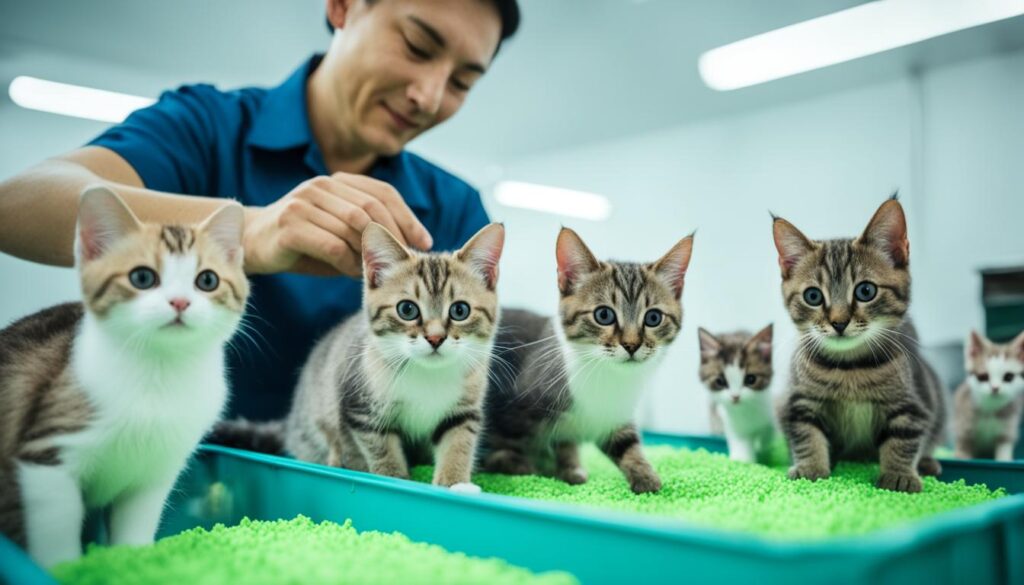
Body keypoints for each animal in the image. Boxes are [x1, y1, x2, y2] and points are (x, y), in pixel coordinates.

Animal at [0, 186, 247, 569]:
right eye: (142, 278)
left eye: (207, 280)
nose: (180, 302)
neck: (160, 371)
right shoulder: (48, 457)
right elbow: (56, 532)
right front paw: (70, 571)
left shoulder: (155, 472)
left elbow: (135, 525)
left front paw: (135, 562)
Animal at [481, 228, 692, 493]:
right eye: (604, 315)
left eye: (653, 318)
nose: (631, 345)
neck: (605, 375)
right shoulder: (515, 402)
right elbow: (504, 441)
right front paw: (526, 466)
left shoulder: (612, 412)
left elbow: (624, 442)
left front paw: (644, 475)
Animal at [696, 325, 774, 463]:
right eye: (720, 381)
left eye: (751, 379)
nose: (735, 396)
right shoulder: (727, 419)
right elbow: (740, 440)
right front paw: (743, 458)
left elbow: (768, 431)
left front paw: (760, 445)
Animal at [770, 197, 946, 493]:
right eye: (813, 296)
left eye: (865, 291)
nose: (839, 322)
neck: (851, 368)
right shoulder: (798, 401)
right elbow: (806, 433)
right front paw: (811, 468)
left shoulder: (912, 404)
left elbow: (903, 438)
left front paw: (899, 475)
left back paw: (927, 463)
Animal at [950, 329, 1024, 463]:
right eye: (983, 376)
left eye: (1008, 377)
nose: (995, 388)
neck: (990, 408)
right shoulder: (964, 417)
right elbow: (963, 442)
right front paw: (961, 456)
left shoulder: (1009, 423)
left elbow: (1004, 443)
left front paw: (1004, 459)